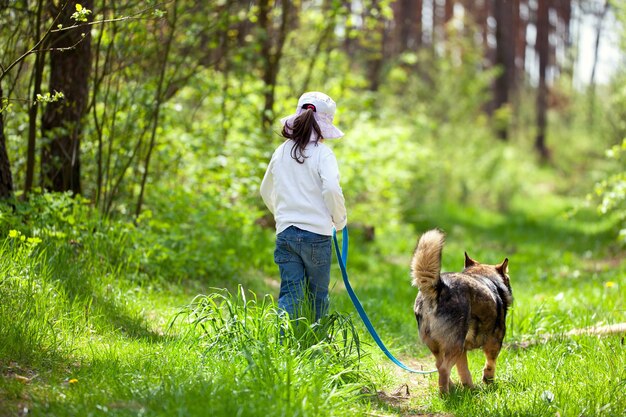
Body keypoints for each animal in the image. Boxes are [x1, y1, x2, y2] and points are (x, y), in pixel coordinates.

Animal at [410, 229, 512, 392]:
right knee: (444, 368)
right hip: (454, 345)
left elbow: (464, 369)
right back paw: (445, 393)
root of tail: (439, 288)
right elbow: (490, 362)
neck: (484, 277)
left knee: (438, 365)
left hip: (439, 345)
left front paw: (469, 388)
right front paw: (488, 380)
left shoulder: (463, 350)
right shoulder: (495, 340)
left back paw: (451, 387)